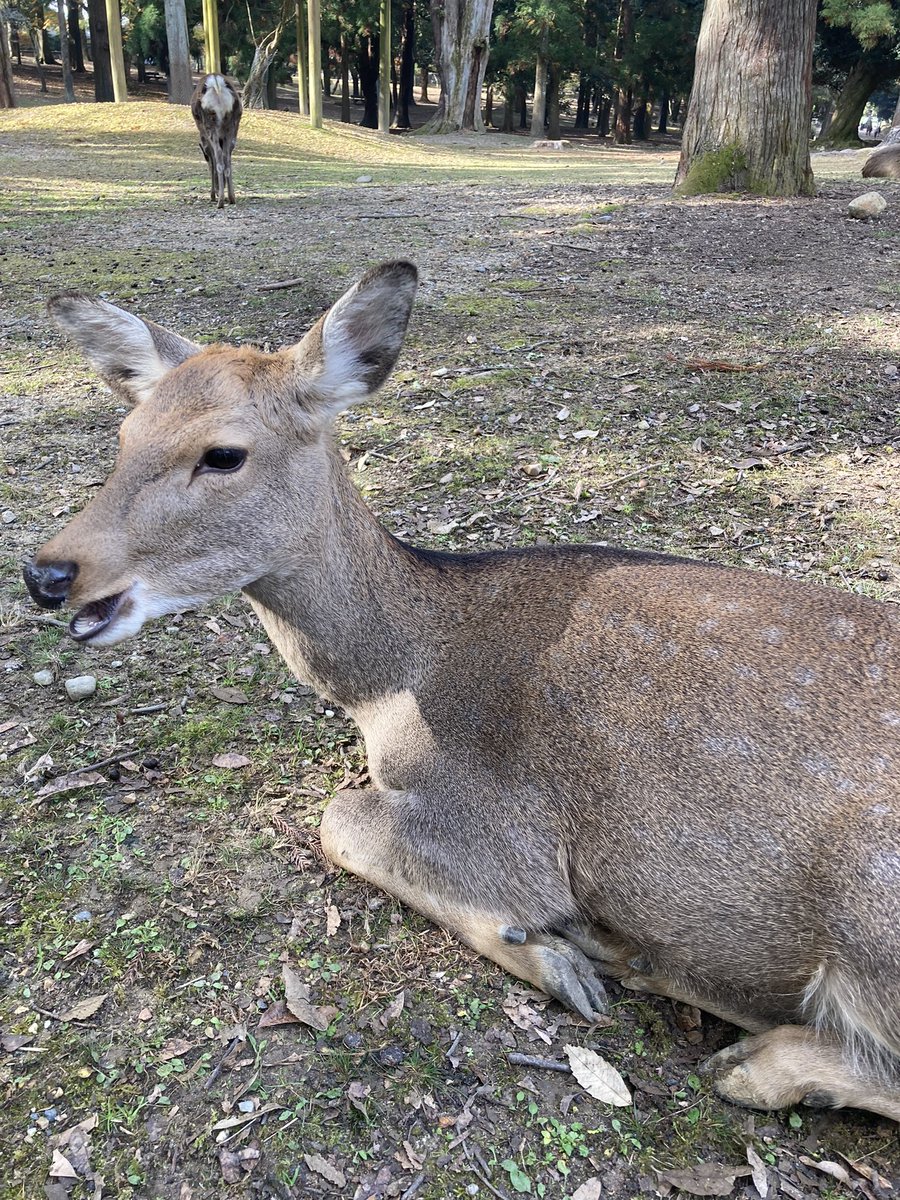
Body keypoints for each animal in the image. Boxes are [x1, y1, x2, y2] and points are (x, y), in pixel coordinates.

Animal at [21, 262, 900, 1123]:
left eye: (224, 454)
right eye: (125, 436)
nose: (47, 573)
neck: (392, 682)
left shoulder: (509, 829)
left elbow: (339, 819)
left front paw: (554, 955)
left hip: (869, 900)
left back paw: (735, 1049)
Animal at [190, 73, 241, 208]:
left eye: (205, 159)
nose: (216, 192)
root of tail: (217, 84)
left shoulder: (204, 138)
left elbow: (212, 159)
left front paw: (213, 195)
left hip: (209, 124)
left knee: (217, 155)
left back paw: (220, 201)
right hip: (232, 125)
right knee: (226, 156)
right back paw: (231, 198)